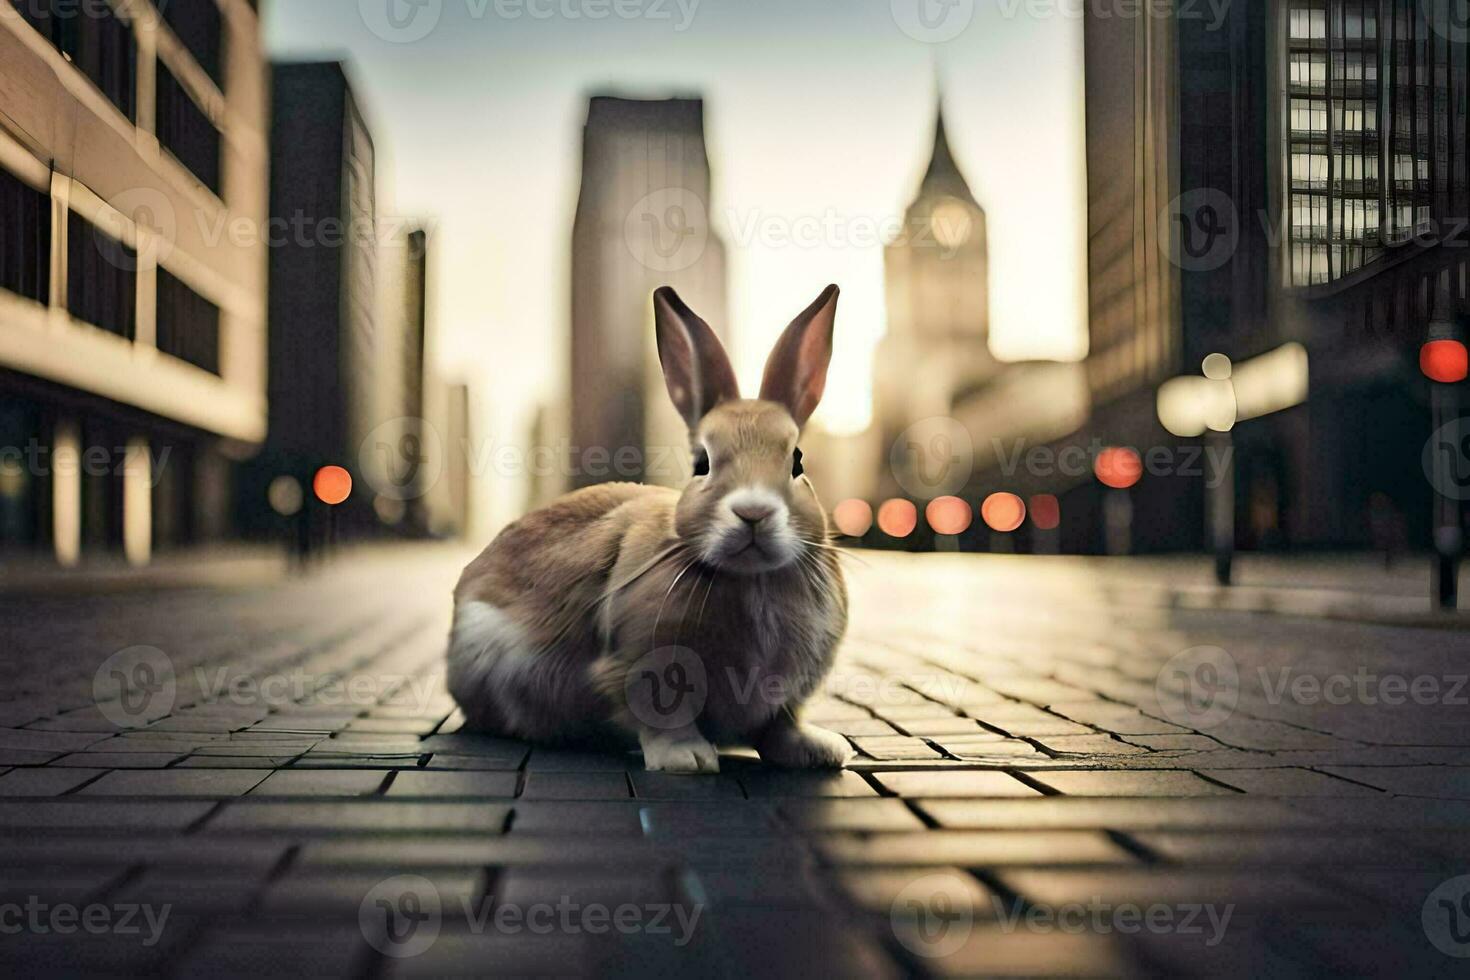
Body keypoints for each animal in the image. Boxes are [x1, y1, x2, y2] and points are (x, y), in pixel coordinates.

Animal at [446, 283, 852, 775]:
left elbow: (781, 727)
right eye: (701, 463)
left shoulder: (786, 696)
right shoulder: (643, 664)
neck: (753, 579)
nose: (753, 512)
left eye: (797, 461)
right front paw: (687, 759)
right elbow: (663, 714)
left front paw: (819, 751)